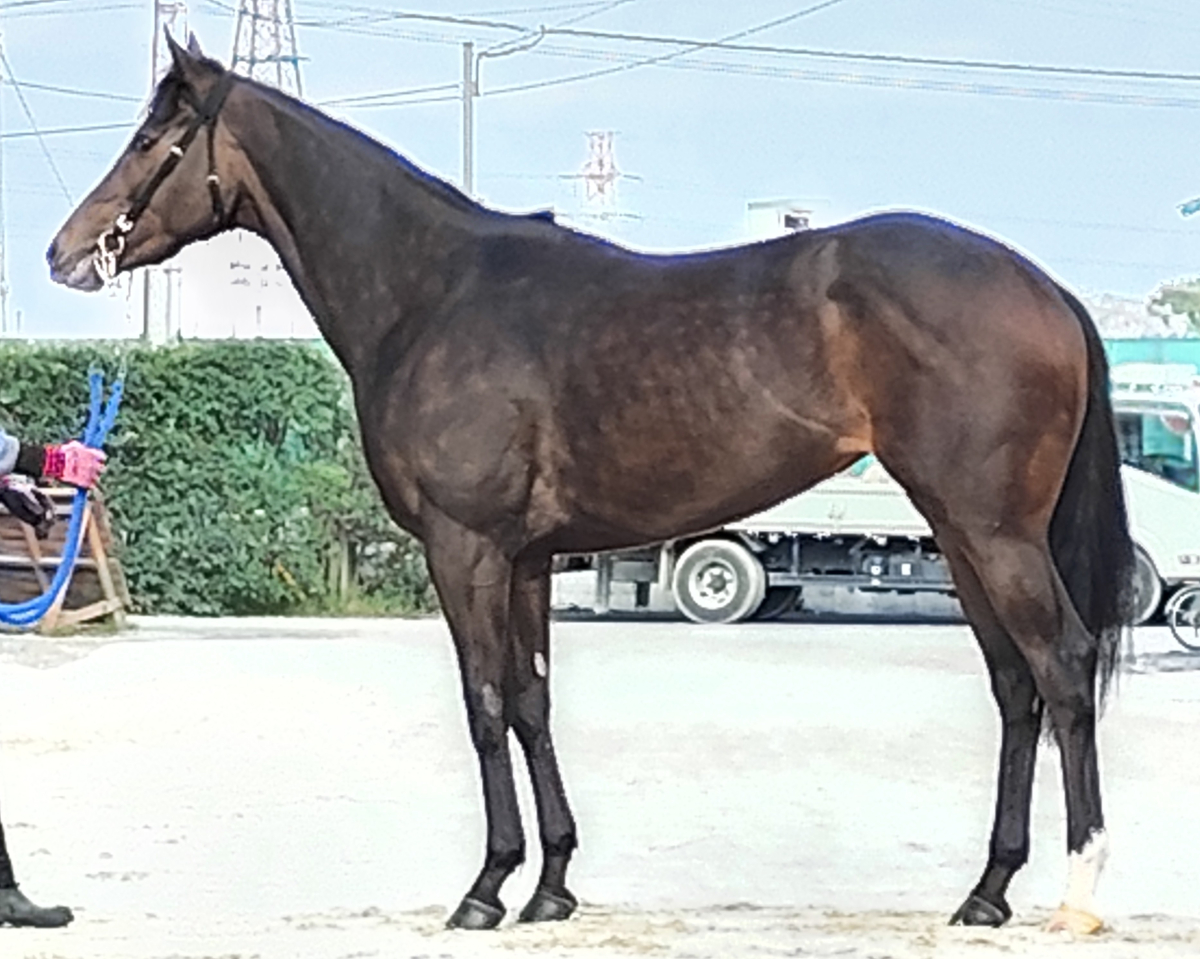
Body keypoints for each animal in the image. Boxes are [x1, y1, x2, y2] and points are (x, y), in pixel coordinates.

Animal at [48, 34, 1134, 936]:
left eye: (153, 140)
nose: (65, 254)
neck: (433, 293)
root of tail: (1041, 286)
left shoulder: (466, 548)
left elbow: (485, 698)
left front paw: (487, 887)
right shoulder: (527, 558)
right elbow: (533, 701)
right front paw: (552, 885)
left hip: (994, 532)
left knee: (1064, 665)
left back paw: (1079, 889)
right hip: (961, 531)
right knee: (1015, 686)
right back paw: (986, 891)